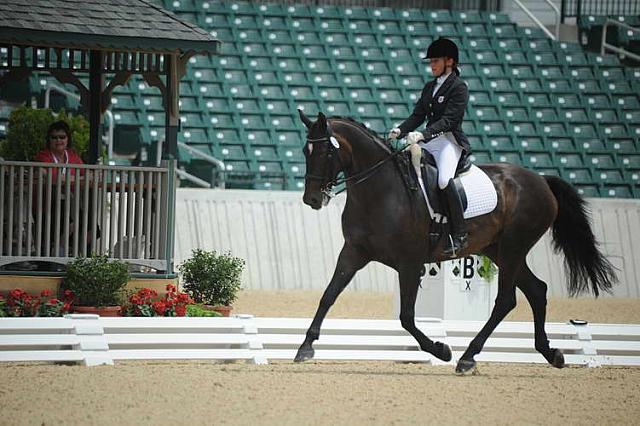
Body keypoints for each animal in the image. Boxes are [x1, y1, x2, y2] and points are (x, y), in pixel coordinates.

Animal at [294, 110, 616, 372]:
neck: (380, 190)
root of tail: (540, 180)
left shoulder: (410, 263)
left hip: (513, 247)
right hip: (500, 250)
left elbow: (406, 317)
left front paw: (441, 350)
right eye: (304, 151)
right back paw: (551, 353)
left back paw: (467, 357)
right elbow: (328, 296)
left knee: (506, 300)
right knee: (536, 291)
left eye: (325, 151)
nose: (312, 199)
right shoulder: (353, 252)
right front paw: (305, 347)